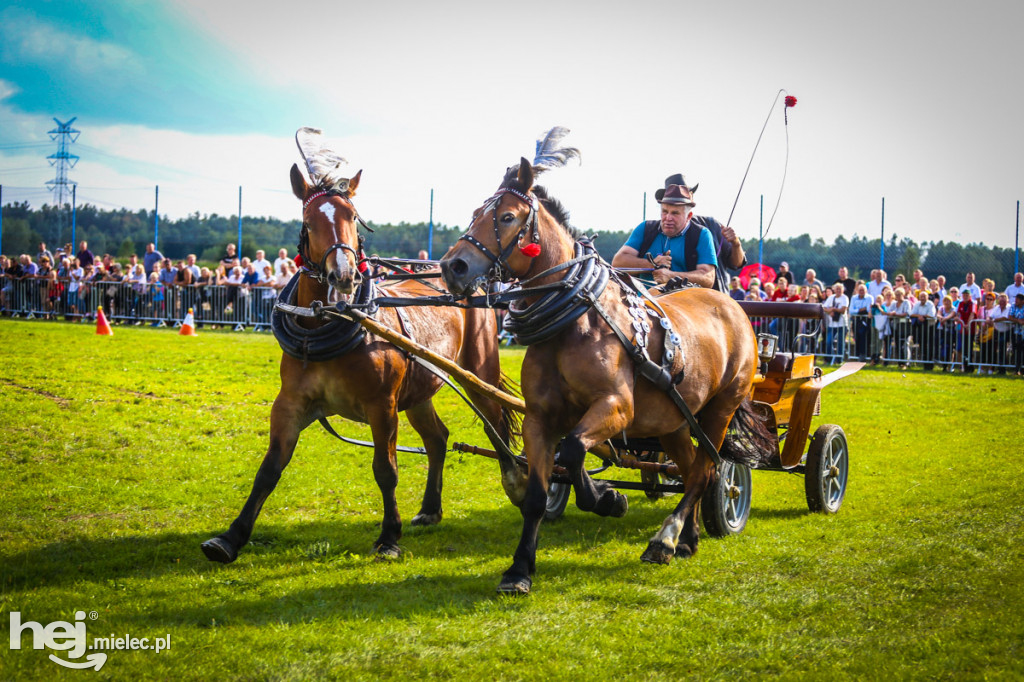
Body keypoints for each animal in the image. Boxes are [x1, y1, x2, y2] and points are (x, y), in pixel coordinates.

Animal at [201, 156, 520, 561]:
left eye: (352, 217)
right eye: (309, 222)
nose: (344, 274)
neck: (330, 318)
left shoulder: (381, 406)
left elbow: (386, 469)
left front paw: (389, 537)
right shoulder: (291, 404)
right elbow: (269, 469)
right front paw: (231, 537)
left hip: (477, 374)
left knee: (497, 425)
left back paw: (520, 480)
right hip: (419, 391)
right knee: (437, 439)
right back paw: (430, 509)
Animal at [438, 156, 770, 593]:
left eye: (507, 217)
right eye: (476, 213)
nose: (452, 266)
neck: (574, 321)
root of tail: (734, 308)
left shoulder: (617, 407)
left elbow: (573, 449)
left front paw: (605, 499)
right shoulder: (540, 417)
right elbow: (539, 491)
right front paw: (520, 568)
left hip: (720, 409)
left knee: (705, 472)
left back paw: (665, 539)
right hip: (674, 421)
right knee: (691, 468)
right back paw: (688, 539)